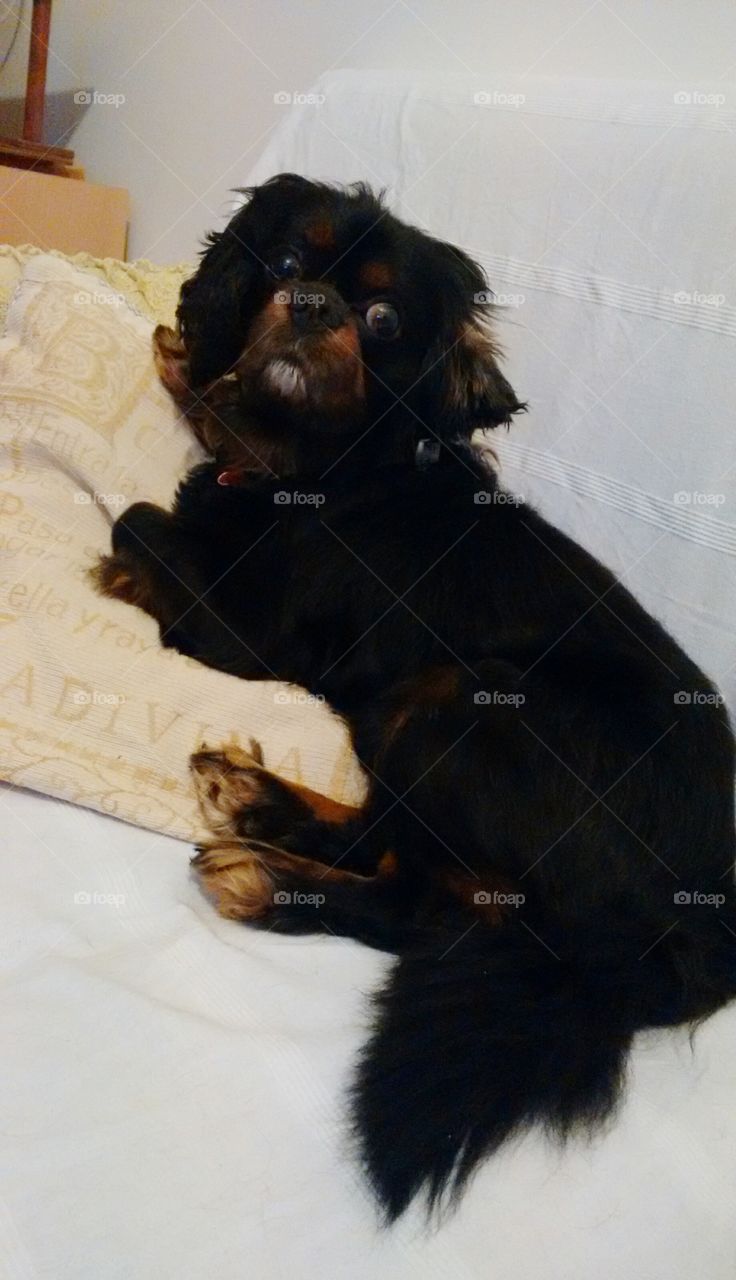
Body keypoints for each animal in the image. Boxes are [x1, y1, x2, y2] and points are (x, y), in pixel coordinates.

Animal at [92, 172, 736, 1218]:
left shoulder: (248, 640)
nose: (313, 304)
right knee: (388, 851)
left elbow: (140, 520)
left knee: (414, 901)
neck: (323, 468)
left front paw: (128, 561)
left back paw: (269, 876)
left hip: (450, 702)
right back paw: (262, 805)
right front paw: (188, 357)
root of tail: (703, 922)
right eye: (284, 262)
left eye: (384, 320)